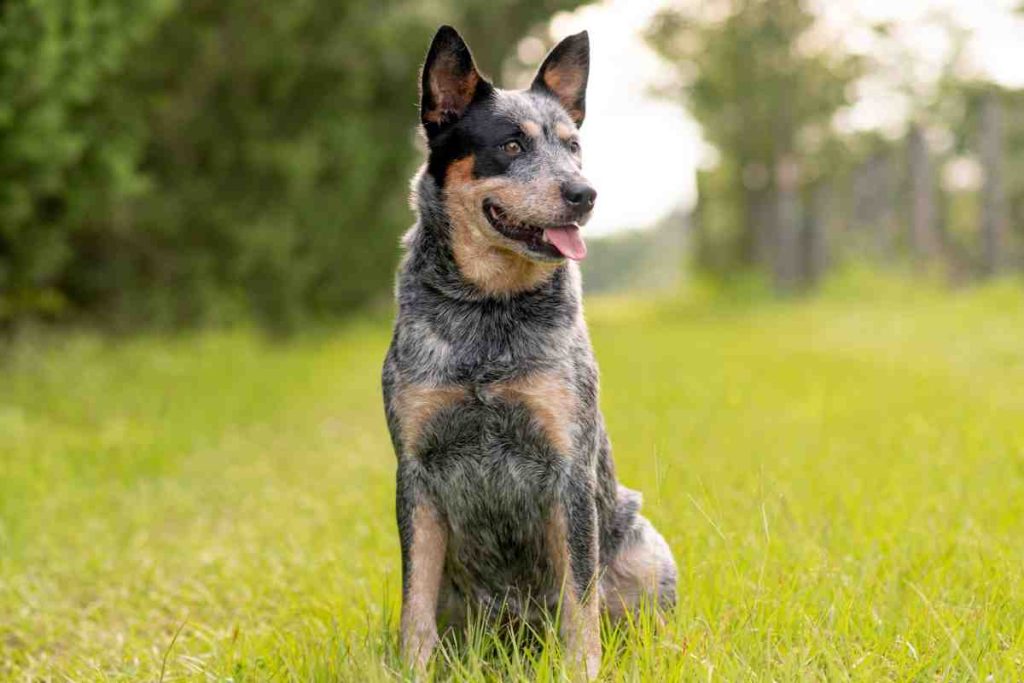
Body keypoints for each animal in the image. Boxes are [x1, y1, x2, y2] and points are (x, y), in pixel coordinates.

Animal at [380, 25, 675, 679]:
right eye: (511, 145)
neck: (488, 312)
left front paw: (582, 668)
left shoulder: (567, 467)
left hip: (646, 542)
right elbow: (415, 602)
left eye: (573, 146)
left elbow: (580, 597)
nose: (585, 193)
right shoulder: (416, 471)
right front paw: (415, 667)